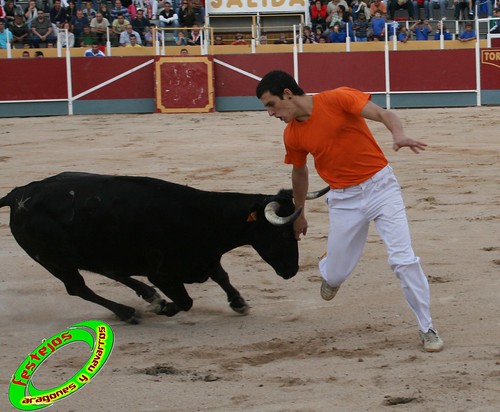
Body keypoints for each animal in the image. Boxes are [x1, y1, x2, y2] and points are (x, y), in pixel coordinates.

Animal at [0, 172, 328, 324]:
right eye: (282, 234)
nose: (291, 271)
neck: (200, 217)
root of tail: (18, 194)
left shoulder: (206, 260)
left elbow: (222, 277)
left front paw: (239, 303)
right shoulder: (163, 274)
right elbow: (186, 301)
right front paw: (165, 307)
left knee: (108, 271)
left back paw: (147, 297)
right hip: (55, 260)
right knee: (79, 288)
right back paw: (129, 311)